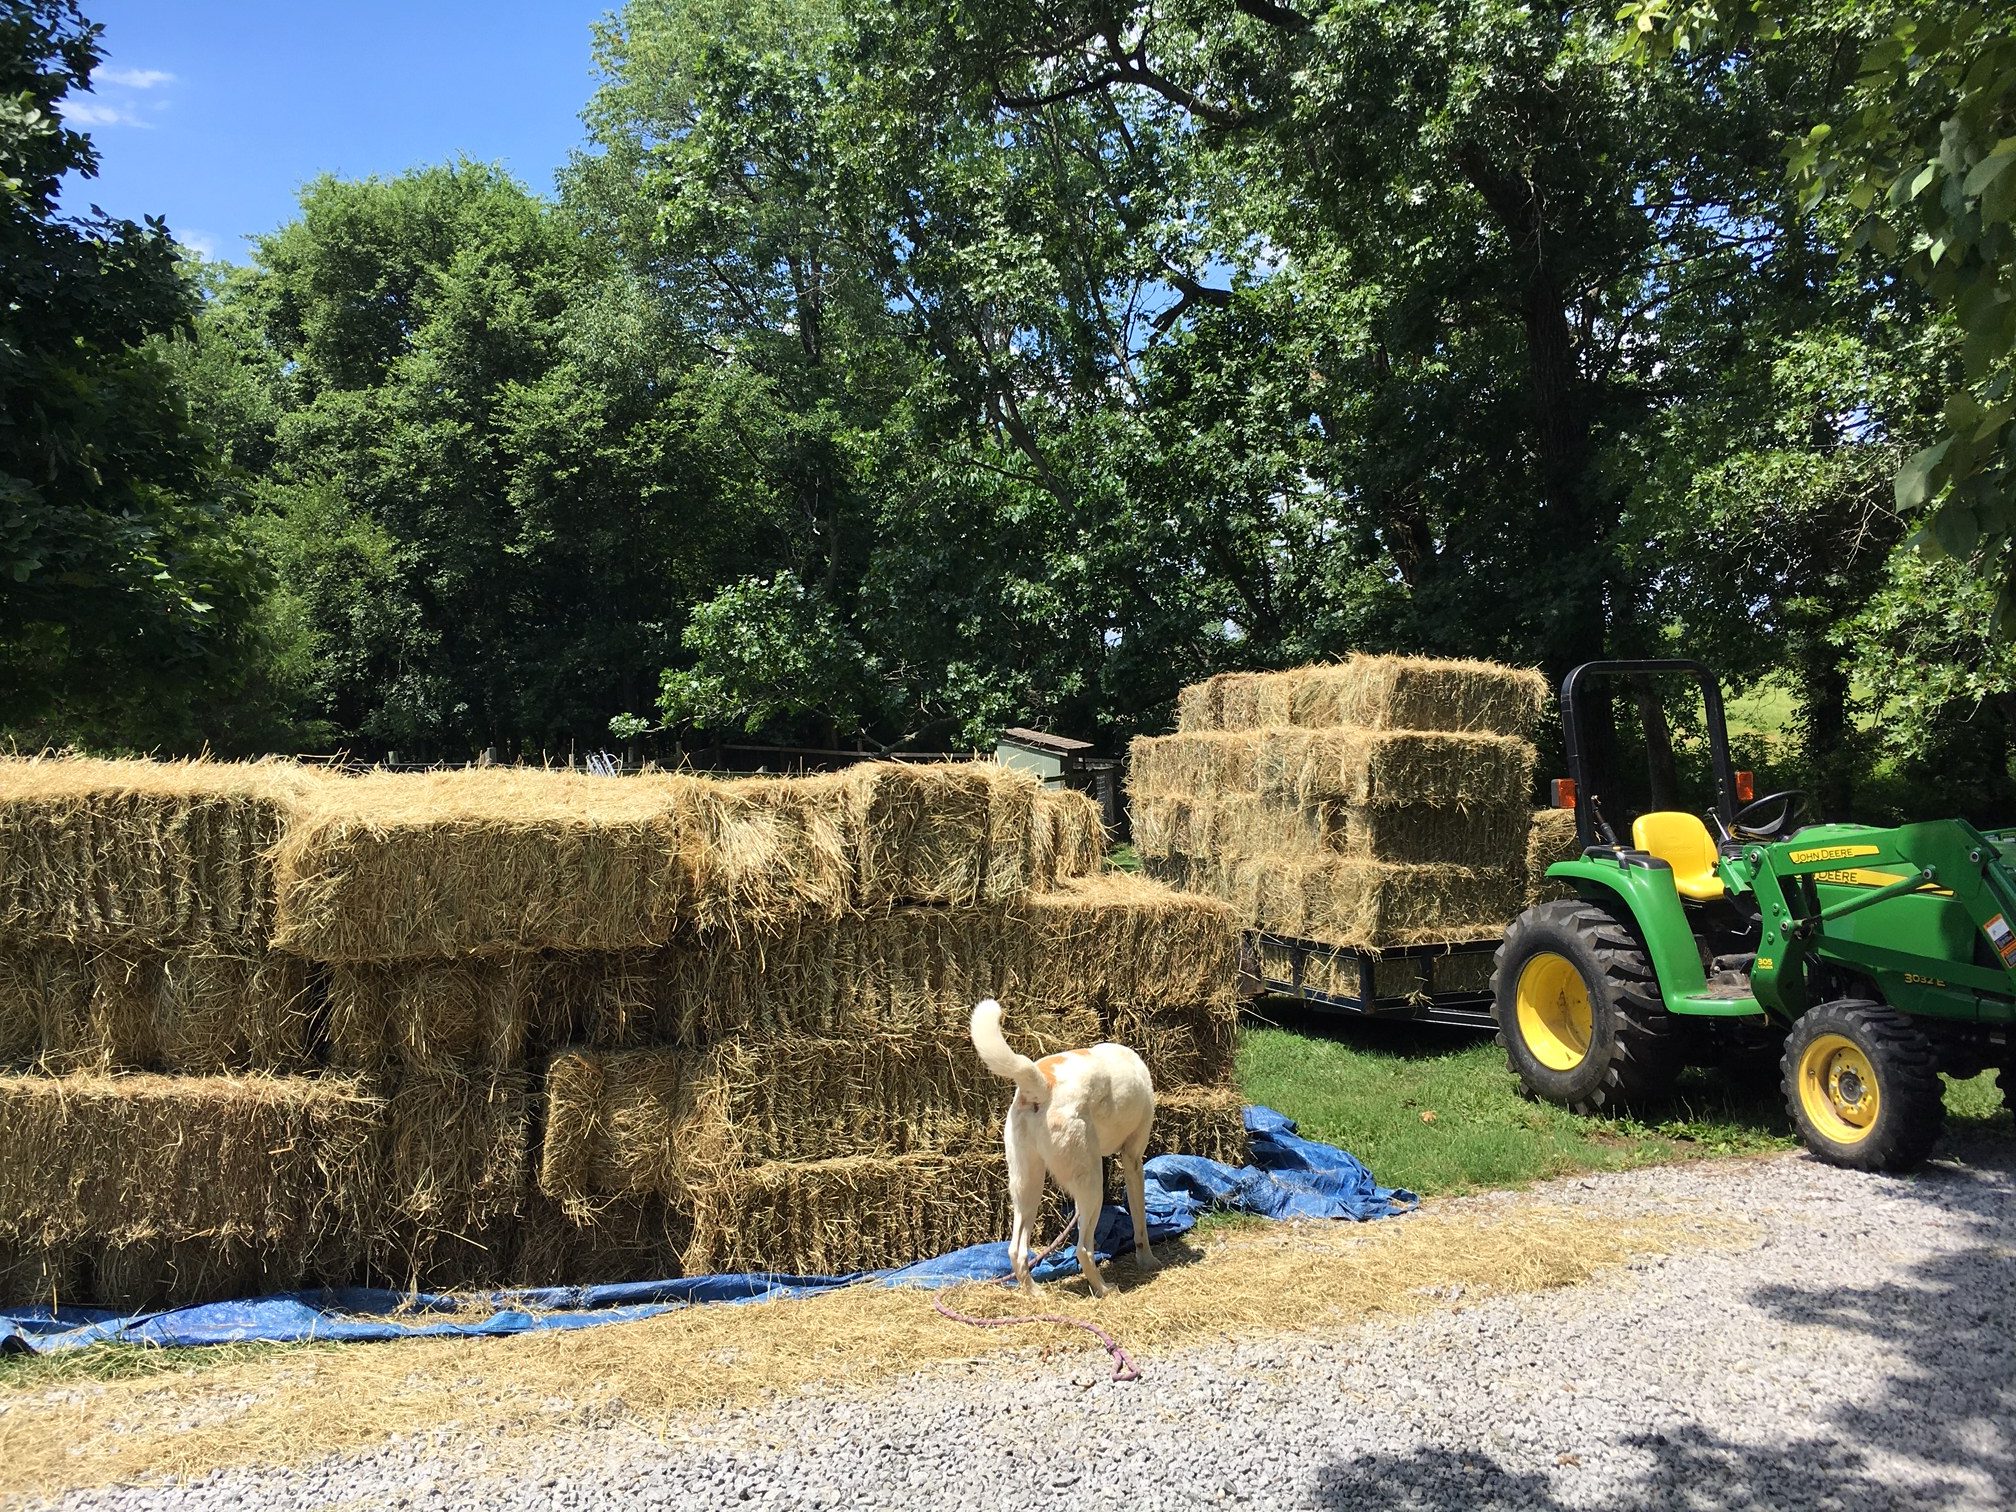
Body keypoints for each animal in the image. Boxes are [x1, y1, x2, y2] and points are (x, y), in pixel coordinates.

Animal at [967, 999, 1161, 1298]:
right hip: (1091, 1184)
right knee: (1083, 1250)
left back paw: (1035, 1293)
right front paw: (1148, 1260)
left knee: (1017, 1251)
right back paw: (1104, 1289)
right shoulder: (1133, 1160)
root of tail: (1043, 1083)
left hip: (1027, 1186)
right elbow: (1140, 1222)